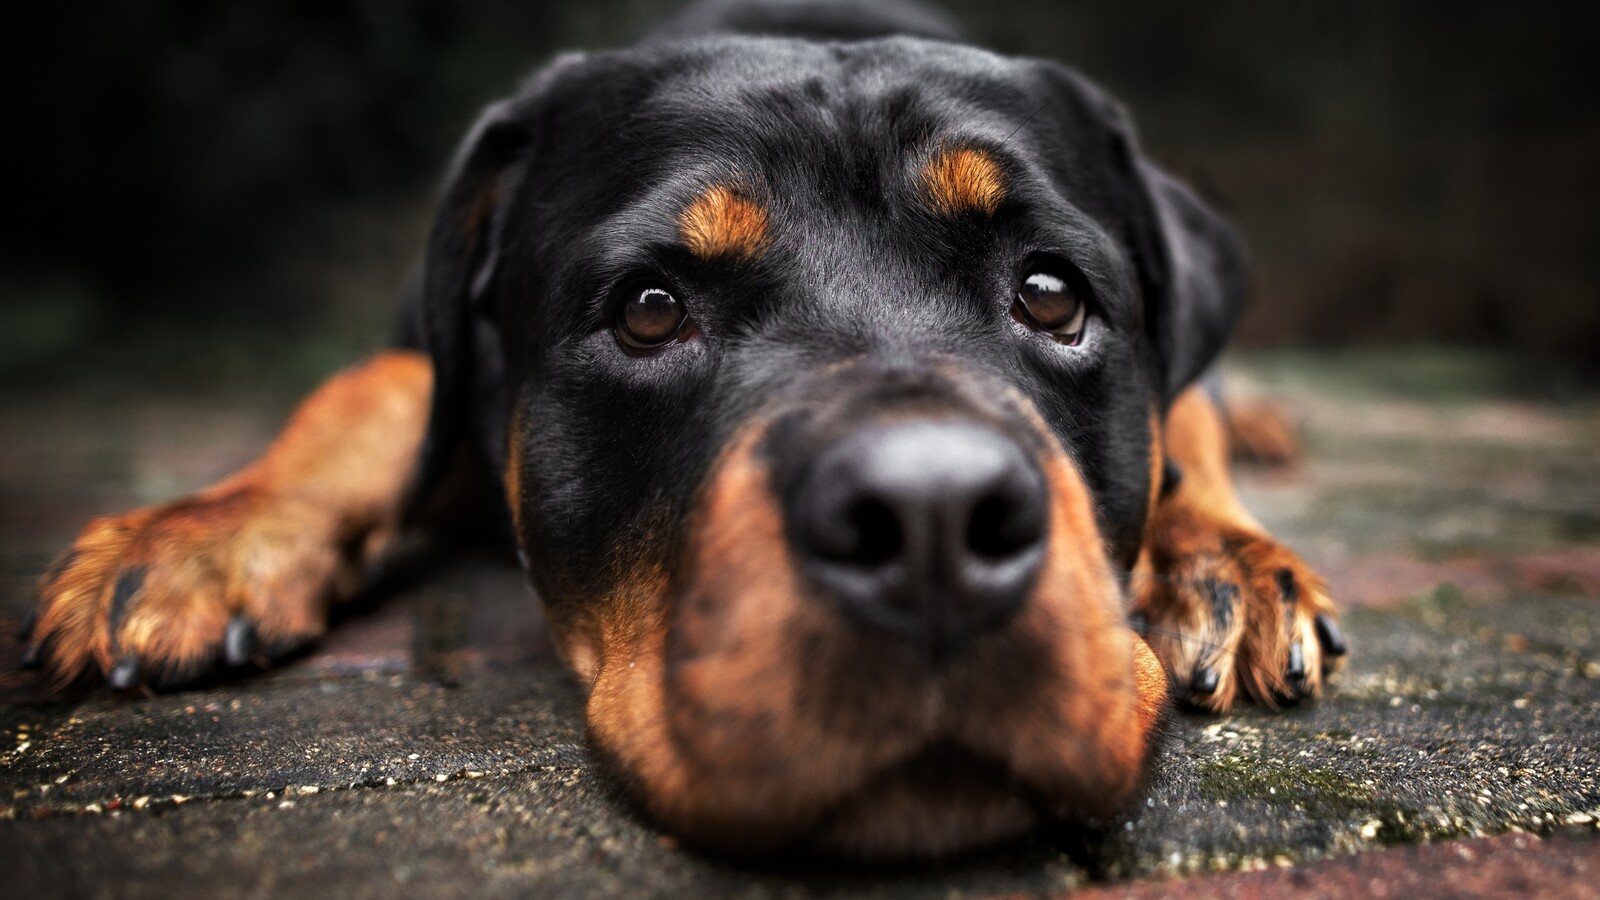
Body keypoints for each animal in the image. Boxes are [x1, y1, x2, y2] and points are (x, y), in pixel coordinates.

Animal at [31, 0, 1344, 851]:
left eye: (1052, 295)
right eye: (649, 310)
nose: (929, 518)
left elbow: (1183, 422)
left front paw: (1223, 561)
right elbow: (376, 391)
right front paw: (202, 536)